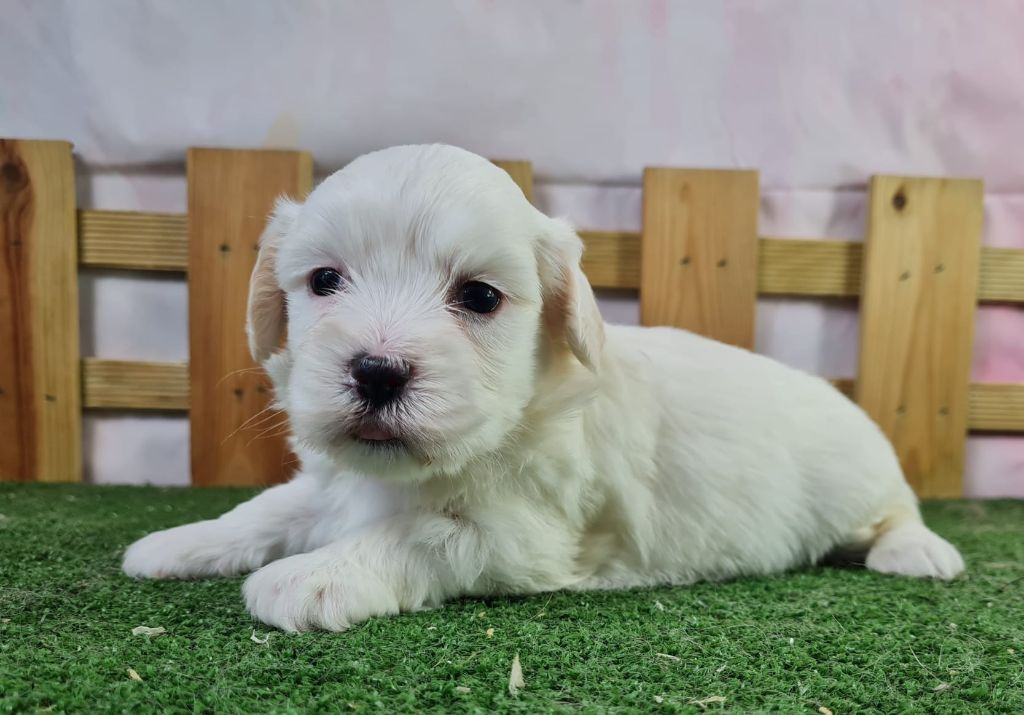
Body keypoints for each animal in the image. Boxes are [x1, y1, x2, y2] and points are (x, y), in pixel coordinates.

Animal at [123, 144, 965, 631]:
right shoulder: (336, 482)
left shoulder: (518, 534)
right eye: (324, 281)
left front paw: (310, 576)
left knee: (898, 511)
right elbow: (270, 507)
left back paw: (919, 551)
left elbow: (414, 534)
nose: (376, 370)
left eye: (480, 297)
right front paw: (178, 541)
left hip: (861, 484)